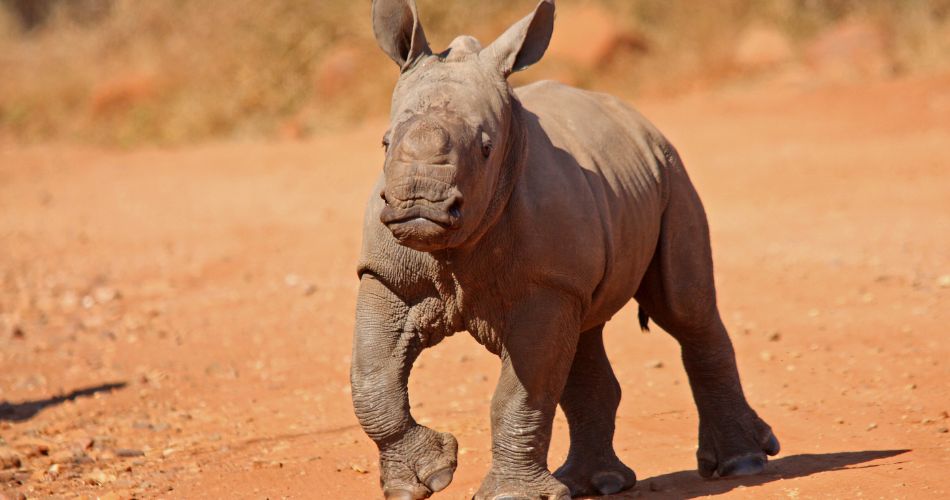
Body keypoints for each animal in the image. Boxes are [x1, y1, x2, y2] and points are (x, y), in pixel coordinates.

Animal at [351, 1, 780, 498]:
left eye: (486, 148)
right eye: (385, 141)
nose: (420, 204)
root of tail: (640, 120)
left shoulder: (546, 284)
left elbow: (523, 391)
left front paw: (509, 495)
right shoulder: (386, 273)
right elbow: (371, 379)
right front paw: (422, 481)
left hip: (673, 172)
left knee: (684, 311)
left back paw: (743, 464)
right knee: (584, 334)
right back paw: (597, 483)